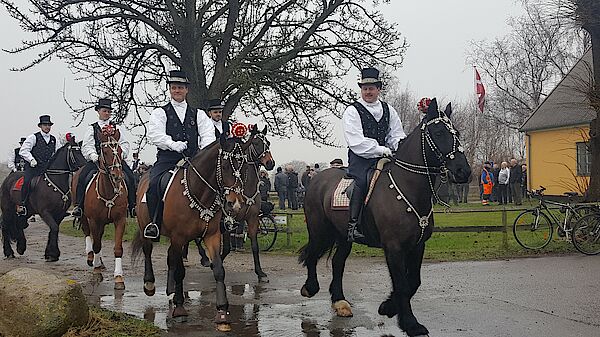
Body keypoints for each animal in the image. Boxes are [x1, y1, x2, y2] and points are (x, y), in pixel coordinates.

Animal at [72, 124, 129, 288]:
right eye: (105, 151)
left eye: (120, 151)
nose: (117, 176)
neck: (108, 192)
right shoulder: (94, 220)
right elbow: (96, 244)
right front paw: (96, 270)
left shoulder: (120, 220)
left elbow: (118, 248)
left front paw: (118, 277)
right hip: (84, 217)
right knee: (88, 234)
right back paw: (91, 258)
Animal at [132, 133, 264, 330]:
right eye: (225, 166)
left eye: (243, 166)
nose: (235, 203)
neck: (199, 191)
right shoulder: (179, 237)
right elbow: (180, 271)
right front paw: (180, 309)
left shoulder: (212, 235)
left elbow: (218, 269)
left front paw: (222, 312)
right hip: (146, 227)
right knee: (148, 251)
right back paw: (150, 284)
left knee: (170, 257)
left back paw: (171, 291)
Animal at [298, 98, 472, 336]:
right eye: (438, 133)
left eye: (457, 132)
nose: (464, 171)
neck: (407, 187)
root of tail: (317, 179)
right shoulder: (394, 247)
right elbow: (402, 284)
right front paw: (410, 323)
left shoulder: (418, 245)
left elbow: (413, 281)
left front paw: (388, 307)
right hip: (320, 230)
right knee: (313, 255)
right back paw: (310, 288)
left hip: (344, 236)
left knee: (337, 262)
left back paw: (340, 302)